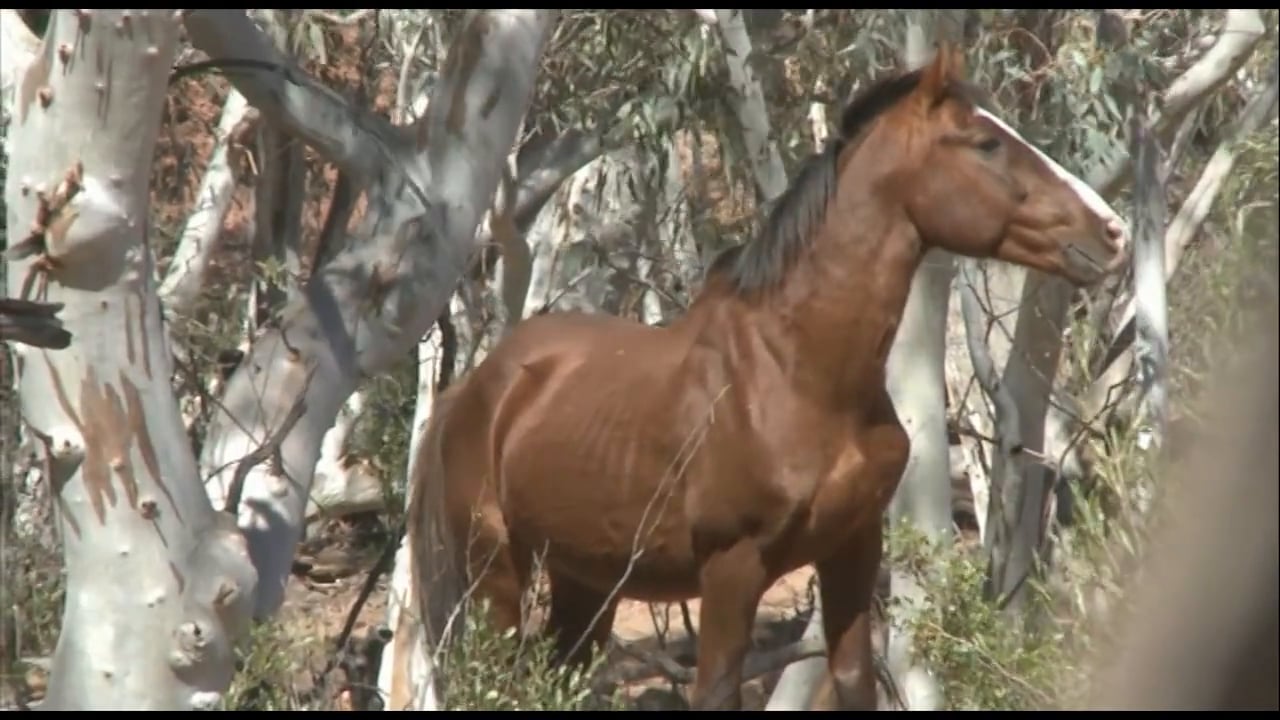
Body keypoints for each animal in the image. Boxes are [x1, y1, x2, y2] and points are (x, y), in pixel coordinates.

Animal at [407, 43, 1121, 707]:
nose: (1111, 232)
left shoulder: (852, 549)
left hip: (586, 582)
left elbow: (854, 679)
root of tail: (475, 390)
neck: (800, 375)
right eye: (985, 143)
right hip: (497, 573)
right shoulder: (733, 569)